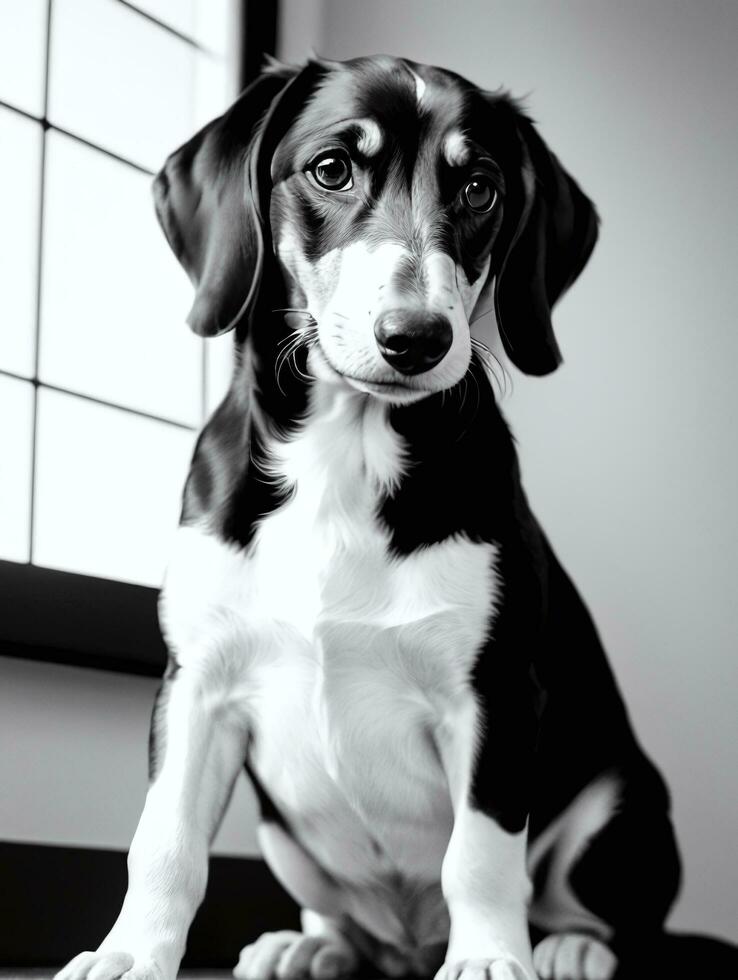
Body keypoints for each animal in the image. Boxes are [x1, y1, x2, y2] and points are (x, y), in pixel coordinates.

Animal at [56, 55, 680, 980]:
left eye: (480, 188)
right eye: (331, 169)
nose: (415, 338)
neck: (341, 461)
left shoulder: (494, 697)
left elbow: (481, 856)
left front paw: (491, 959)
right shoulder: (195, 683)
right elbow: (164, 845)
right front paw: (131, 956)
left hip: (622, 804)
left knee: (609, 915)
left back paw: (568, 947)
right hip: (283, 835)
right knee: (344, 919)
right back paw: (315, 945)